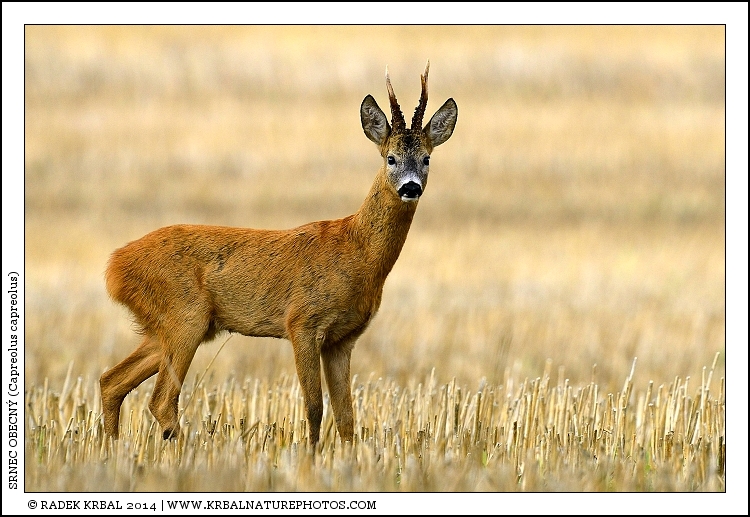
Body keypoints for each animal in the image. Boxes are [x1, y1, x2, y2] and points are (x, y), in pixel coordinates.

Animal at [100, 61, 458, 445]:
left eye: (426, 159)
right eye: (391, 158)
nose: (411, 187)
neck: (357, 252)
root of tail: (115, 266)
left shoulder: (343, 339)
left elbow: (347, 419)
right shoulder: (301, 321)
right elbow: (314, 408)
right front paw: (309, 455)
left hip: (166, 325)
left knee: (111, 381)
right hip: (184, 315)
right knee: (161, 400)